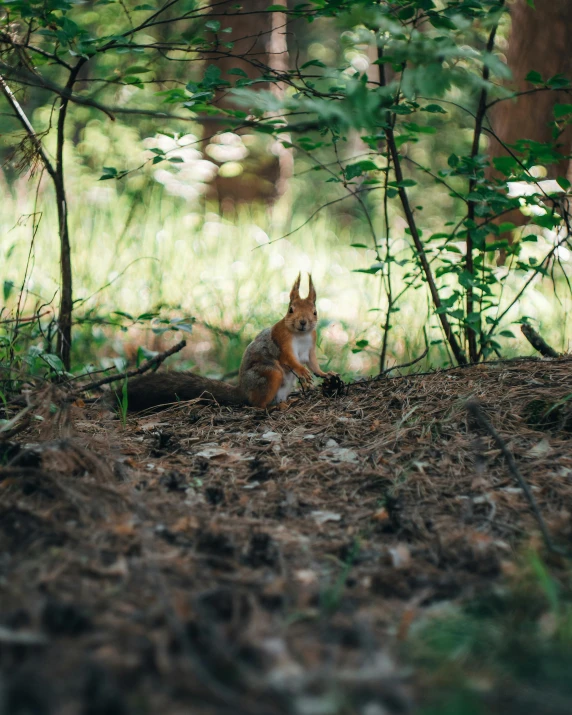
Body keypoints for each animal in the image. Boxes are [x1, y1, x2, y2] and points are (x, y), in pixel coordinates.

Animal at [122, 272, 336, 412]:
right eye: (290, 309)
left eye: (315, 312)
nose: (303, 322)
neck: (300, 335)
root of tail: (243, 390)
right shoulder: (282, 342)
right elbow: (289, 359)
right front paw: (302, 371)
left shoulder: (310, 346)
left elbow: (313, 363)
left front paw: (325, 373)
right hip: (270, 374)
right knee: (257, 404)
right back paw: (271, 407)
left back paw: (286, 403)